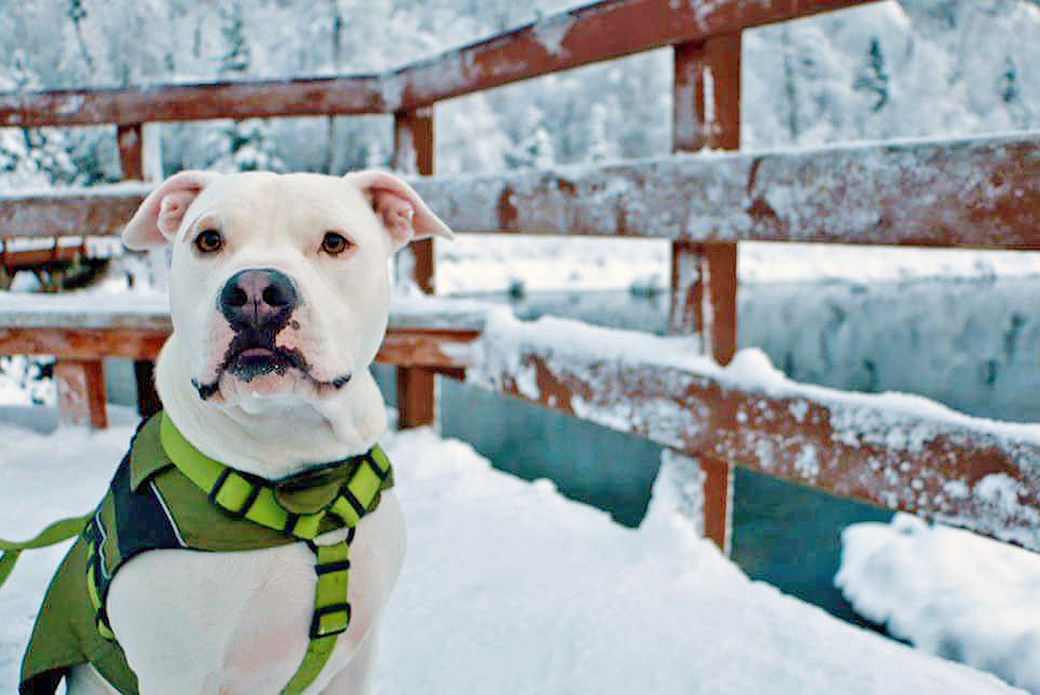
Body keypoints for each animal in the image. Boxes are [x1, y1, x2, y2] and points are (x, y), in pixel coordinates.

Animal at [21, 169, 451, 695]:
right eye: (208, 240)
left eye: (334, 242)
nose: (254, 290)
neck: (297, 479)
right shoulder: (174, 676)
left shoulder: (358, 657)